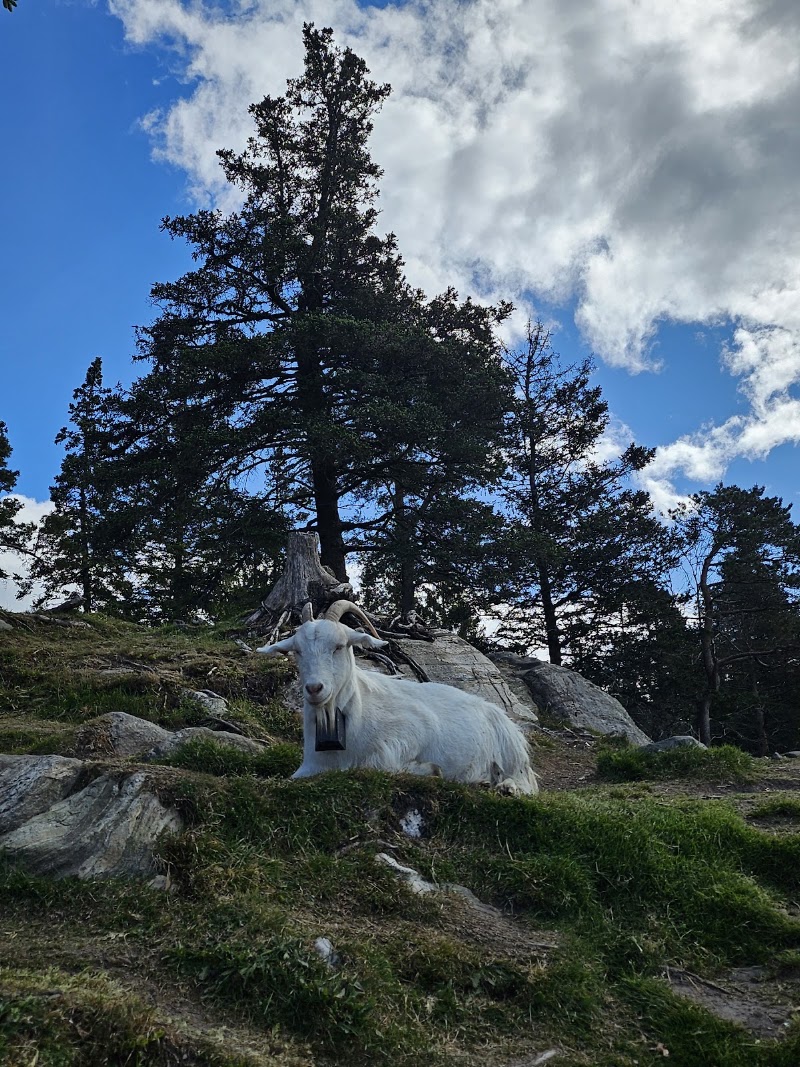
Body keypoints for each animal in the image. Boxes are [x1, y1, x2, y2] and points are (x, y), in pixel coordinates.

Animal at [257, 601, 537, 794]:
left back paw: (505, 787)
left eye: (338, 646)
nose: (315, 688)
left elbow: (380, 765)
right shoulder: (307, 769)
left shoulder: (410, 732)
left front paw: (430, 770)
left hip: (512, 756)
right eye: (297, 650)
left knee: (525, 783)